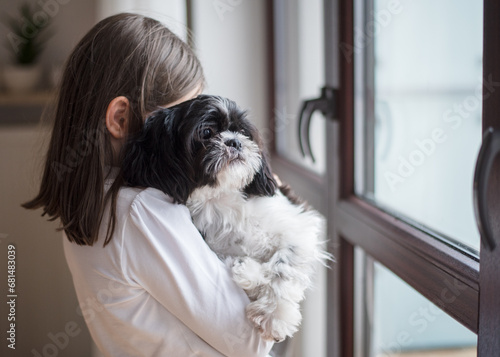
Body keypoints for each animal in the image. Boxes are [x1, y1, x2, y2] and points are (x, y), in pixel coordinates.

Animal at [122, 94, 332, 342]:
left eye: (241, 131)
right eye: (206, 132)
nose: (235, 142)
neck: (221, 198)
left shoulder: (301, 228)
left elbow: (282, 267)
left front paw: (273, 314)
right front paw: (248, 273)